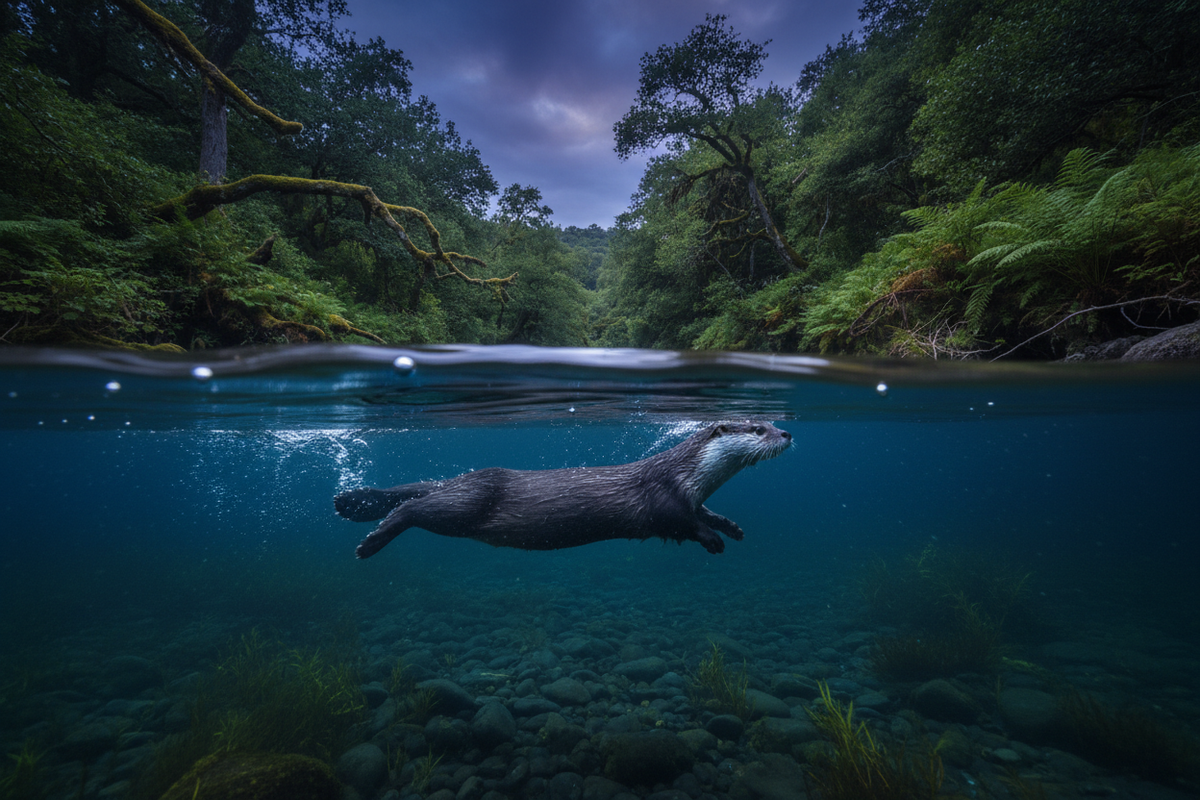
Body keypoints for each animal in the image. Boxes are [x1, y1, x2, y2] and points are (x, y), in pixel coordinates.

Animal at [335, 421, 791, 558]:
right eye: (756, 429)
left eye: (771, 422)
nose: (786, 432)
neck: (684, 473)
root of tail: (465, 477)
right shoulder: (663, 498)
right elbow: (681, 524)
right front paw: (713, 539)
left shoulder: (692, 497)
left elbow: (706, 512)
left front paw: (731, 527)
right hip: (466, 505)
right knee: (411, 509)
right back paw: (369, 544)